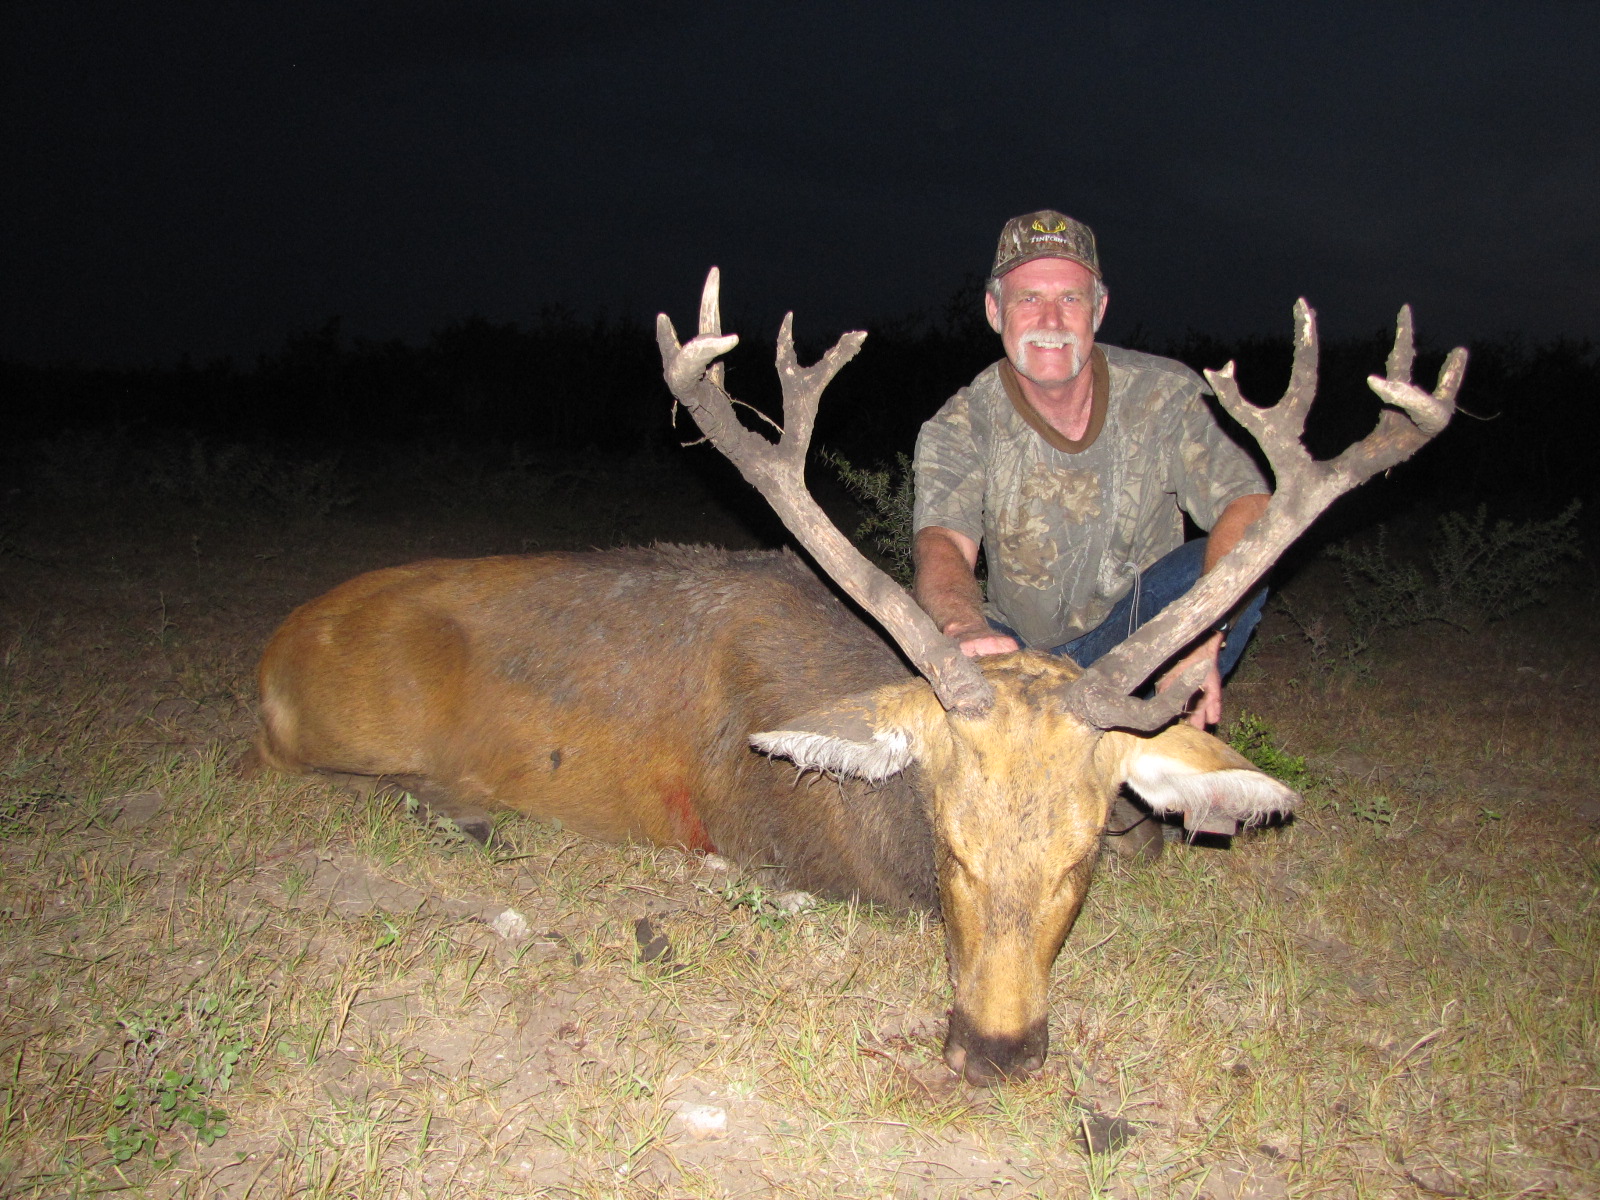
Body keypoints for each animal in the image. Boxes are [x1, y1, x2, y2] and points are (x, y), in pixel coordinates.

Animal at [249, 275, 1465, 1088]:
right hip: (352, 728)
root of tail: (270, 657)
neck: (857, 826)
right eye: (951, 846)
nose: (996, 1050)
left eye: (1082, 857)